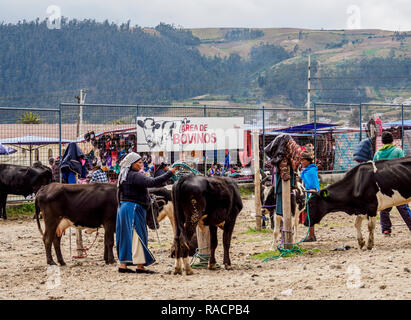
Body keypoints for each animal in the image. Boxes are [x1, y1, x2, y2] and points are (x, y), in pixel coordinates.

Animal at [35, 182, 163, 264]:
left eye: (158, 207)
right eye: (150, 208)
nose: (156, 225)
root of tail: (45, 187)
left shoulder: (107, 225)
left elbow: (106, 242)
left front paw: (106, 258)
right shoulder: (109, 222)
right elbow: (110, 242)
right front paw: (111, 260)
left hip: (60, 224)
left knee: (56, 240)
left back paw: (61, 261)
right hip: (51, 220)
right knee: (47, 239)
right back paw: (51, 261)